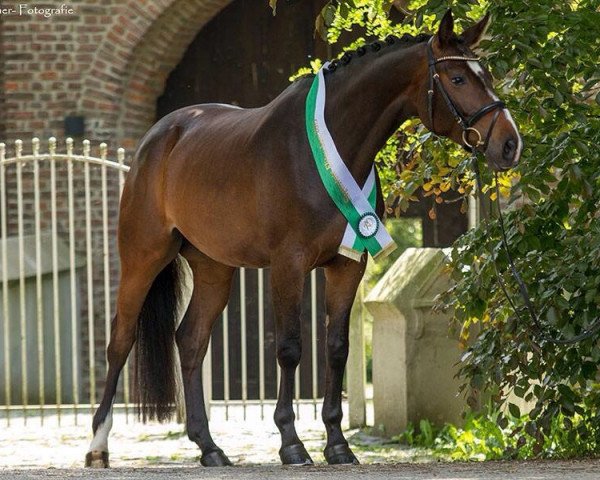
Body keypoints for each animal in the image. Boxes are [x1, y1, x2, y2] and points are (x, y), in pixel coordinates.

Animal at [84, 11, 520, 466]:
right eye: (457, 78)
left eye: (487, 74)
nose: (510, 144)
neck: (326, 149)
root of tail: (159, 137)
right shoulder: (288, 264)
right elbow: (290, 348)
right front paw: (291, 443)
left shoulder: (348, 264)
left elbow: (337, 347)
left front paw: (337, 443)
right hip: (143, 257)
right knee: (121, 340)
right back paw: (99, 446)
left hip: (213, 267)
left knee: (190, 340)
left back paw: (209, 447)